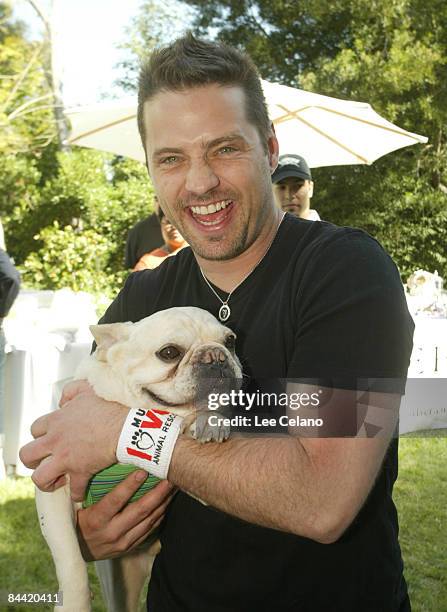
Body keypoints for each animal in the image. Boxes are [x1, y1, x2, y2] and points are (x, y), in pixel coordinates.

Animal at [35, 308, 243, 608]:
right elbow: (70, 559)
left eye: (230, 341)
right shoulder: (53, 488)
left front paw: (211, 421)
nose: (215, 356)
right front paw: (74, 604)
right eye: (169, 352)